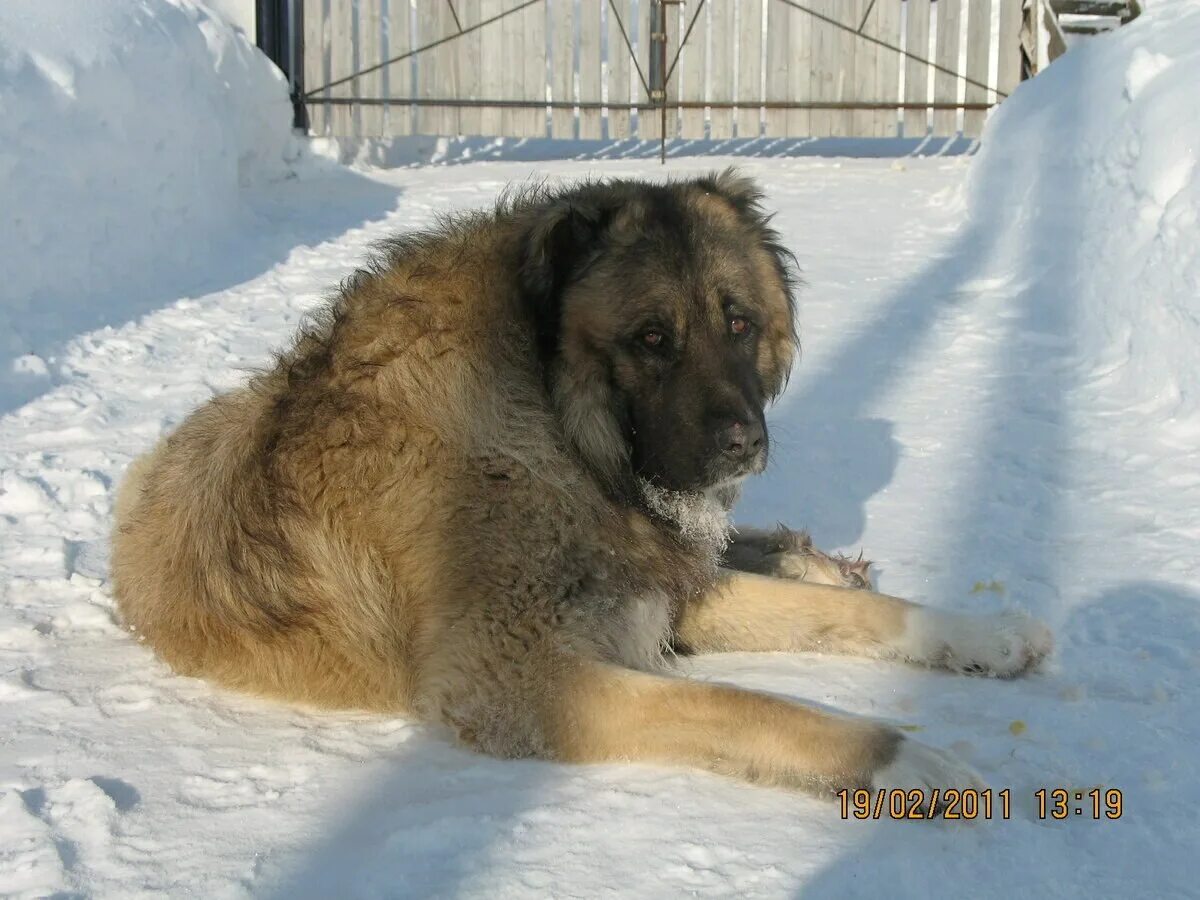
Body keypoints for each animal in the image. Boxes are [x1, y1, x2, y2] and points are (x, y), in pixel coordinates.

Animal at [112, 172, 1051, 816]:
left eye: (739, 321)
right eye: (652, 338)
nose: (745, 443)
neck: (555, 428)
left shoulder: (653, 594)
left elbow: (845, 615)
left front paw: (983, 635)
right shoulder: (522, 678)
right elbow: (745, 704)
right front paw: (905, 760)